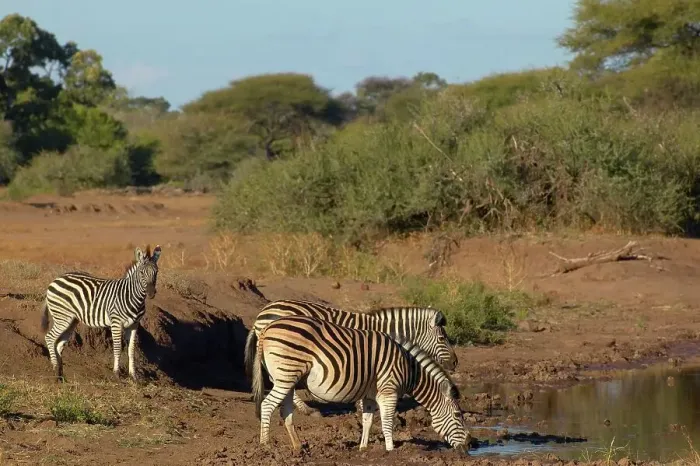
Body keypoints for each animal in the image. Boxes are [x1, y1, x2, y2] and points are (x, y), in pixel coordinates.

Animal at [40, 245, 162, 381]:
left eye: (156, 272)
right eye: (141, 273)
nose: (151, 293)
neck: (133, 297)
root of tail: (55, 280)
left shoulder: (134, 325)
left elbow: (131, 350)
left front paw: (133, 375)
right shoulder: (116, 323)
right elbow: (117, 348)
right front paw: (116, 373)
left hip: (71, 320)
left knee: (59, 344)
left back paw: (61, 374)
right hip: (62, 317)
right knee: (50, 337)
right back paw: (55, 370)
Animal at [252, 315, 469, 453]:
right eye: (458, 415)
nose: (470, 445)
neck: (409, 369)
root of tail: (267, 328)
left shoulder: (370, 395)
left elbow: (368, 420)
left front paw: (363, 447)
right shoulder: (388, 391)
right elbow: (387, 421)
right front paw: (391, 449)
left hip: (288, 379)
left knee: (285, 411)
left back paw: (298, 447)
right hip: (286, 375)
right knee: (267, 405)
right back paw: (265, 445)